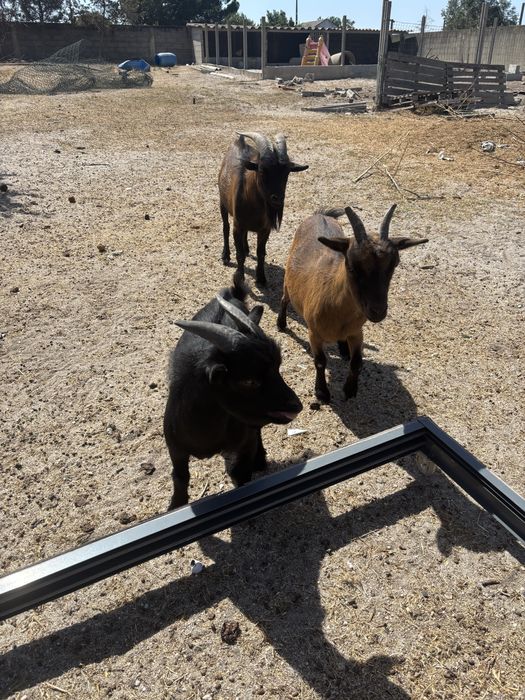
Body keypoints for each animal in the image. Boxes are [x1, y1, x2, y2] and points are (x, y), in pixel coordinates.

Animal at [164, 280, 303, 509]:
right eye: (249, 381)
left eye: (278, 367)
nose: (296, 405)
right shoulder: (176, 448)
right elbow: (180, 477)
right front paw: (176, 505)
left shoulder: (244, 444)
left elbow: (241, 473)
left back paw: (260, 460)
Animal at [218, 132, 308, 286]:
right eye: (261, 170)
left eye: (287, 173)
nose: (277, 199)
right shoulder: (238, 226)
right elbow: (239, 254)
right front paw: (240, 277)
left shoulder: (265, 229)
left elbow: (261, 253)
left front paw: (261, 278)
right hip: (222, 203)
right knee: (225, 227)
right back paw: (226, 255)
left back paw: (247, 248)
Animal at [277, 205, 428, 403]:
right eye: (351, 266)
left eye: (394, 264)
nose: (378, 311)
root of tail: (321, 215)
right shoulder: (314, 333)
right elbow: (320, 361)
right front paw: (322, 392)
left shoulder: (357, 332)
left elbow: (357, 362)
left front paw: (350, 389)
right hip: (288, 281)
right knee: (284, 299)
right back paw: (281, 324)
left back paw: (343, 348)